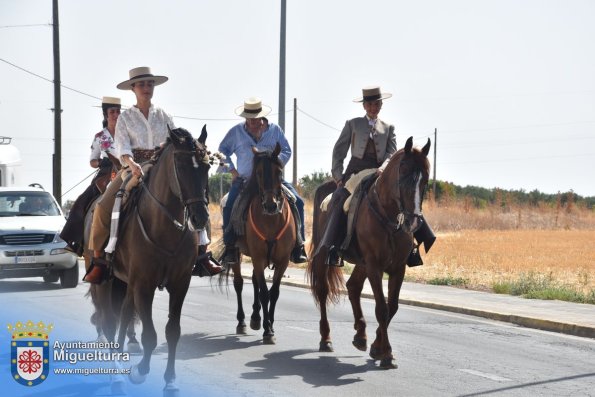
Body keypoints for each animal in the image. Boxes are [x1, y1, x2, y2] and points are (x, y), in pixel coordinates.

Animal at [86, 125, 212, 392]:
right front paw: (139, 371)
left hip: (126, 283)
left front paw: (170, 382)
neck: (164, 226)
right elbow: (150, 335)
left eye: (207, 166)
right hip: (106, 282)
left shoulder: (179, 284)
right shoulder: (144, 285)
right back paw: (117, 376)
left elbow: (172, 331)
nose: (200, 217)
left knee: (123, 316)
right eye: (181, 167)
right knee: (109, 322)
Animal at [230, 142, 300, 344]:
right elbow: (264, 293)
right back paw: (242, 322)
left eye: (279, 171)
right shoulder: (259, 257)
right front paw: (267, 330)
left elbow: (274, 293)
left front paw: (270, 326)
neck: (271, 220)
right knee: (239, 283)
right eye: (259, 173)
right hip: (238, 254)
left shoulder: (282, 260)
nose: (270, 205)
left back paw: (255, 318)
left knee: (253, 281)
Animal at [310, 136, 430, 368]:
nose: (413, 222)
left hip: (362, 262)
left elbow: (392, 307)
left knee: (353, 287)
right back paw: (326, 339)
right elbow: (382, 308)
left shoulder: (397, 269)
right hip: (324, 255)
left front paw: (377, 347)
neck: (390, 216)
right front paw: (387, 354)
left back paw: (361, 335)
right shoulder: (375, 266)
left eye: (426, 178)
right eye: (404, 173)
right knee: (323, 290)